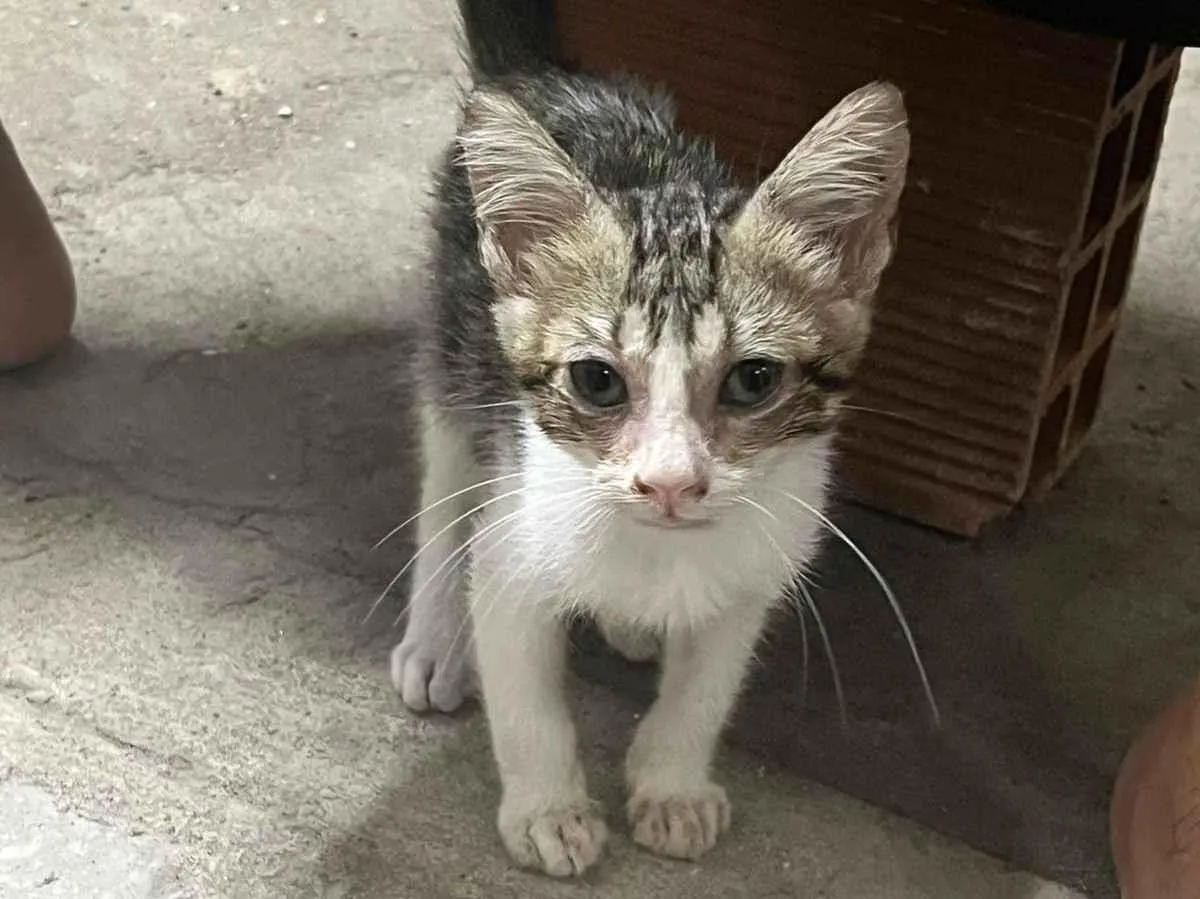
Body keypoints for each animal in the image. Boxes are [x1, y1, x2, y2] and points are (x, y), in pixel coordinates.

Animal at [388, 0, 910, 877]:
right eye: (597, 381)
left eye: (753, 379)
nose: (670, 481)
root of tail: (549, 76)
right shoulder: (514, 544)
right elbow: (526, 697)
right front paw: (549, 808)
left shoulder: (754, 572)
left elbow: (703, 690)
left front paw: (672, 785)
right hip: (457, 352)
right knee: (445, 480)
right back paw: (433, 637)